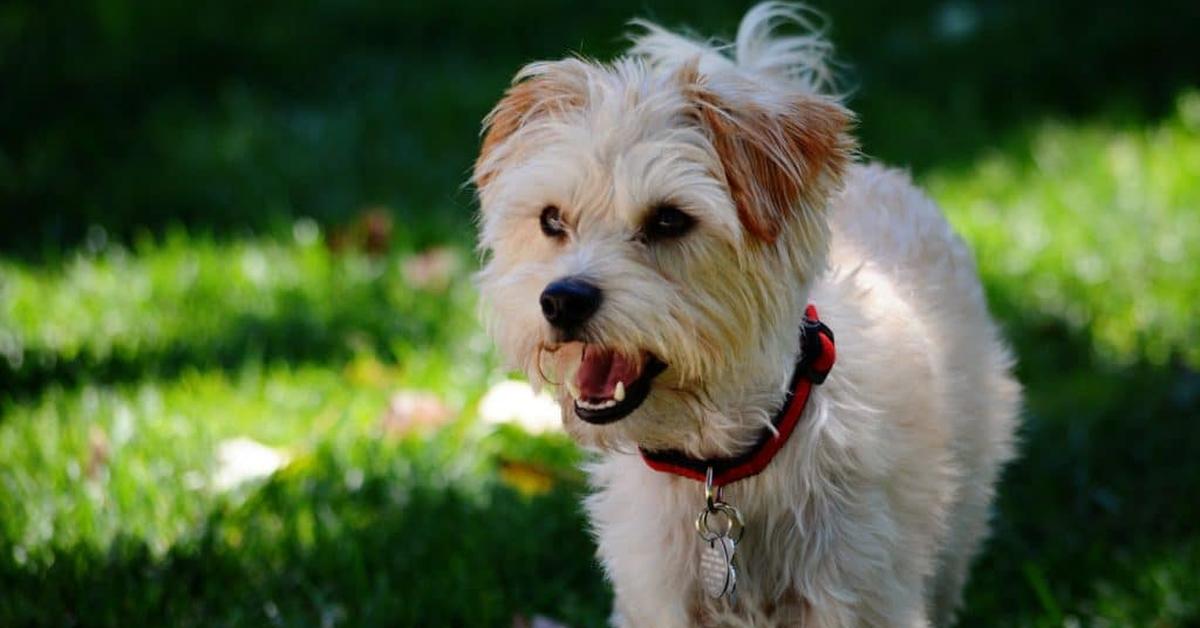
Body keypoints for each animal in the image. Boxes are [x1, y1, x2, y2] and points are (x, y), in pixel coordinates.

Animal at [472, 3, 1017, 624]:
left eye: (668, 220)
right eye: (551, 219)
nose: (562, 299)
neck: (724, 463)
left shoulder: (860, 593)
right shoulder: (660, 597)